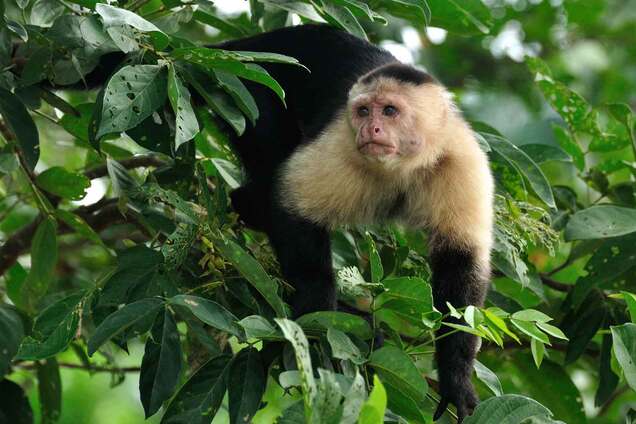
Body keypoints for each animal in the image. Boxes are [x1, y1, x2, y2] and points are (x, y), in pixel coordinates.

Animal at [221, 25, 494, 420]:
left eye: (390, 111)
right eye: (364, 111)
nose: (371, 129)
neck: (404, 165)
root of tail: (242, 45)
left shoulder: (462, 160)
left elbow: (461, 261)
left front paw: (456, 376)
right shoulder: (341, 143)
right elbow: (292, 205)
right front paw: (319, 318)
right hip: (240, 78)